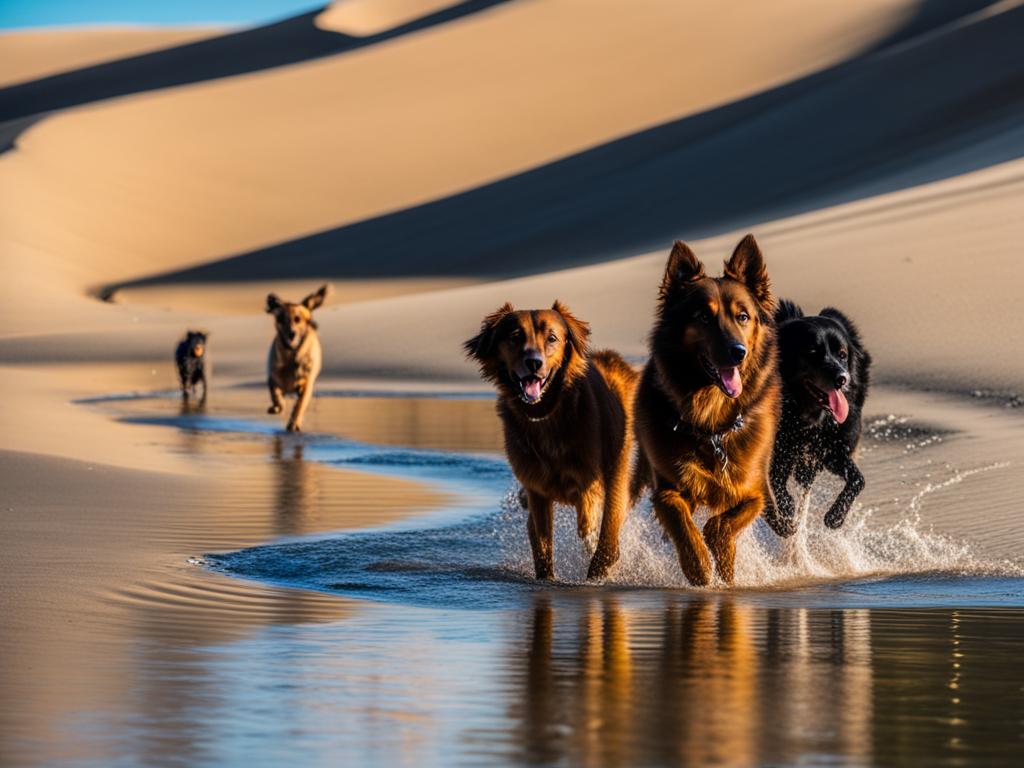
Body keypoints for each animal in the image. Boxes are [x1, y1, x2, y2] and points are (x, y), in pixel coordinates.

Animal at [264, 286, 327, 436]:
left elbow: (299, 406)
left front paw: (294, 424)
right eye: (281, 319)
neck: (291, 356)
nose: (291, 334)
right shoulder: (273, 378)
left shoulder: (306, 386)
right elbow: (276, 396)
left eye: (297, 319)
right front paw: (277, 408)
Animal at [466, 303, 638, 581]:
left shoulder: (591, 476)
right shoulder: (537, 488)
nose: (534, 363)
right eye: (515, 337)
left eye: (552, 338)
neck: (545, 415)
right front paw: (546, 577)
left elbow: (590, 516)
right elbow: (543, 543)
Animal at [630, 237, 782, 585]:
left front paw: (723, 562)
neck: (711, 426)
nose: (738, 353)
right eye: (702, 316)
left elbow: (722, 524)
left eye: (743, 316)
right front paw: (698, 566)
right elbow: (680, 520)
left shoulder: (754, 492)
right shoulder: (667, 488)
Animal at [761, 296, 872, 536]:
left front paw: (836, 516)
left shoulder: (832, 450)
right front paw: (785, 516)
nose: (842, 378)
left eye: (842, 354)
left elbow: (858, 479)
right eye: (812, 353)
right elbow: (776, 489)